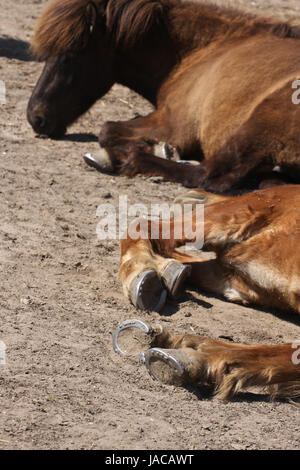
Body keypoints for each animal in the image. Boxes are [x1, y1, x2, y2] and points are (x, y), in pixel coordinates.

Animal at [27, 0, 300, 193]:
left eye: (70, 54)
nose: (35, 117)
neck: (207, 48)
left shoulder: (173, 124)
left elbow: (107, 129)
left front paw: (151, 149)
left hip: (258, 124)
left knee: (209, 175)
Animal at [116, 184, 300, 400]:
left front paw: (196, 355)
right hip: (225, 220)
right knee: (147, 226)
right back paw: (144, 276)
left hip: (230, 270)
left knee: (176, 254)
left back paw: (170, 274)